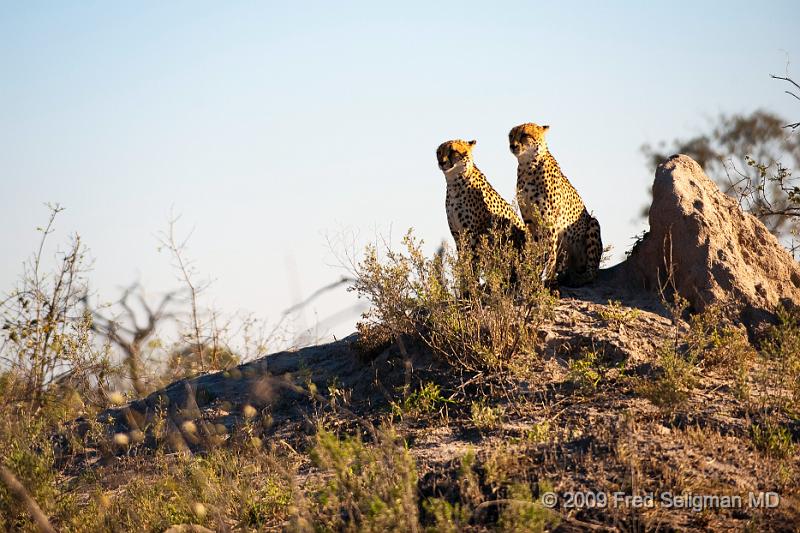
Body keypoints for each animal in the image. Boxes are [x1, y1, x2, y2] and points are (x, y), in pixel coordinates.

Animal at [512, 122, 600, 284]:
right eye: (511, 135)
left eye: (525, 135)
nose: (512, 145)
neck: (527, 165)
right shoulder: (529, 219)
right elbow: (536, 246)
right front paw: (533, 267)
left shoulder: (549, 220)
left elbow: (550, 249)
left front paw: (547, 275)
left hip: (593, 224)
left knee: (593, 272)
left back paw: (578, 278)